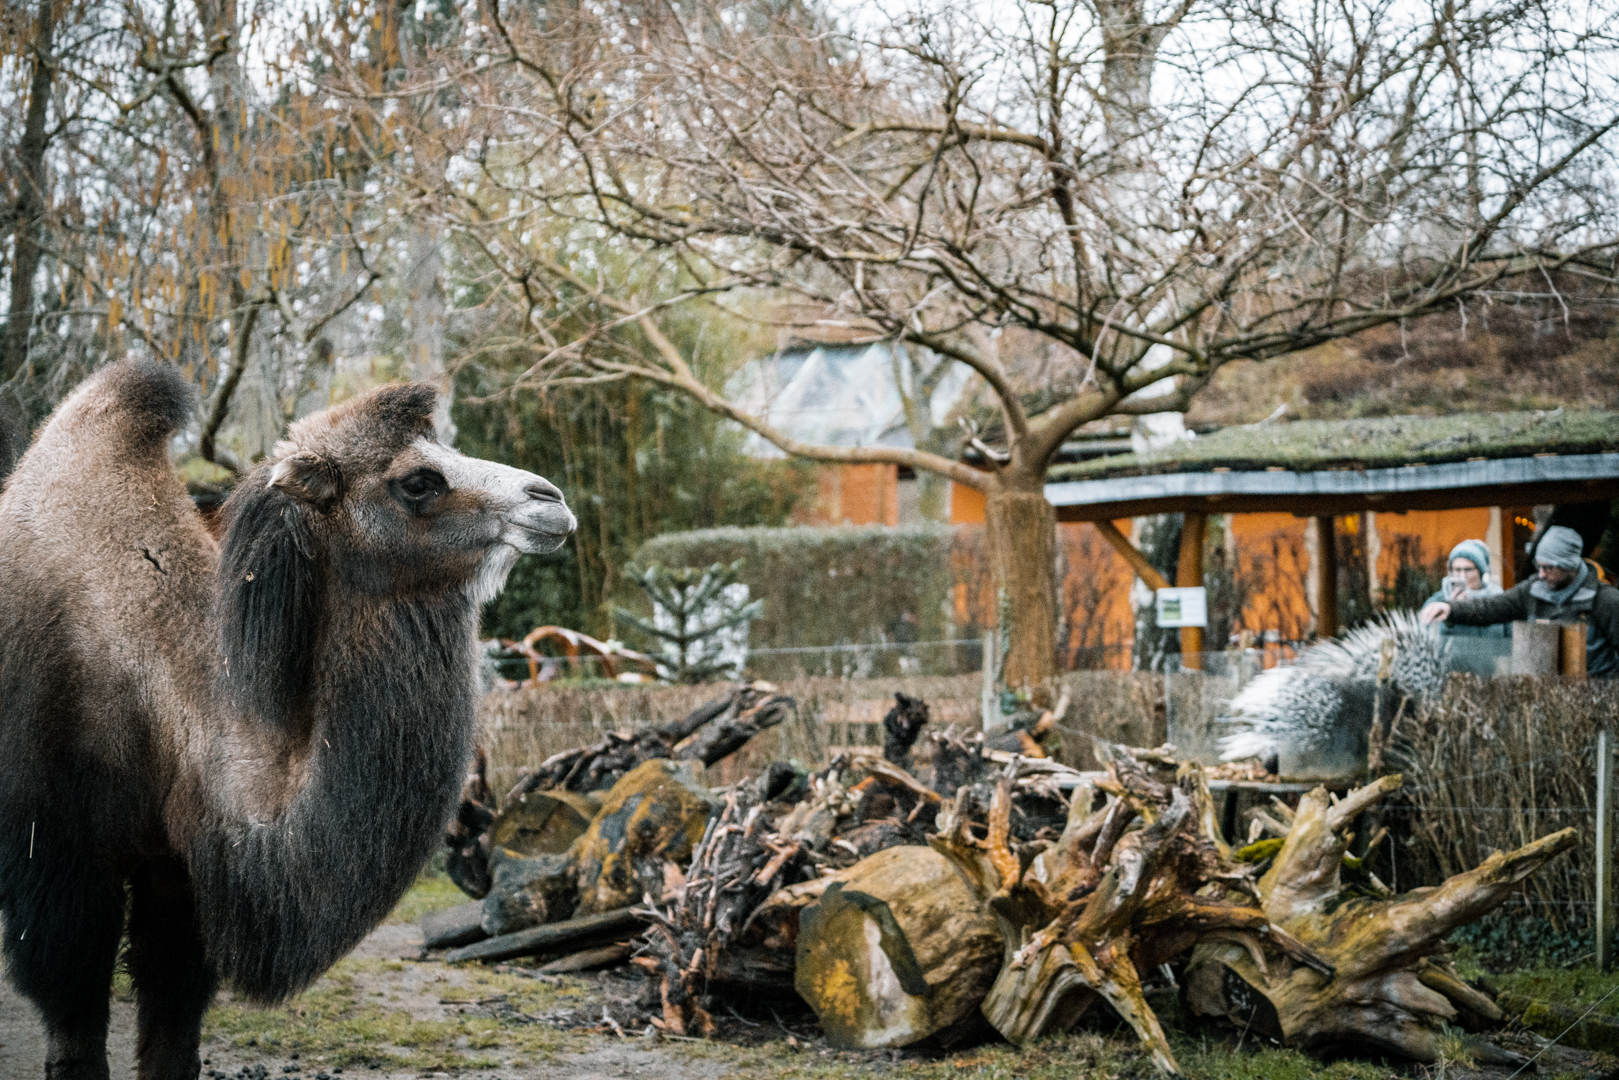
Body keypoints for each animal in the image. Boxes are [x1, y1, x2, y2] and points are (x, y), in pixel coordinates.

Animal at [0, 359, 575, 1080]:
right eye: (417, 481)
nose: (551, 501)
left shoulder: (181, 874)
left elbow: (172, 1019)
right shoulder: (57, 855)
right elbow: (73, 1013)